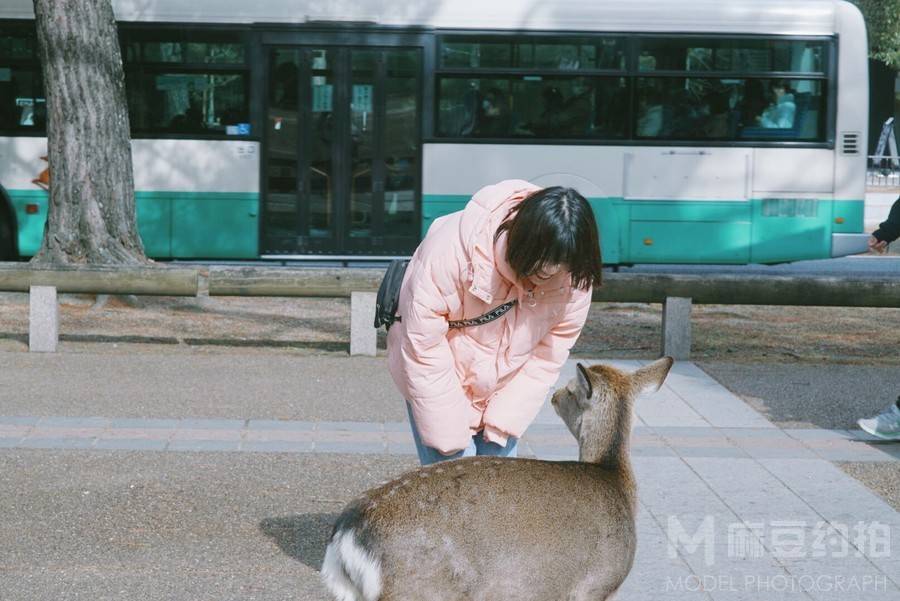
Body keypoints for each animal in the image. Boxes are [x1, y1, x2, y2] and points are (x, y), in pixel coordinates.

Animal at [320, 356, 672, 600]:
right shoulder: (596, 585)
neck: (615, 478)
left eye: (570, 390)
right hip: (418, 590)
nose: (555, 395)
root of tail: (346, 535)